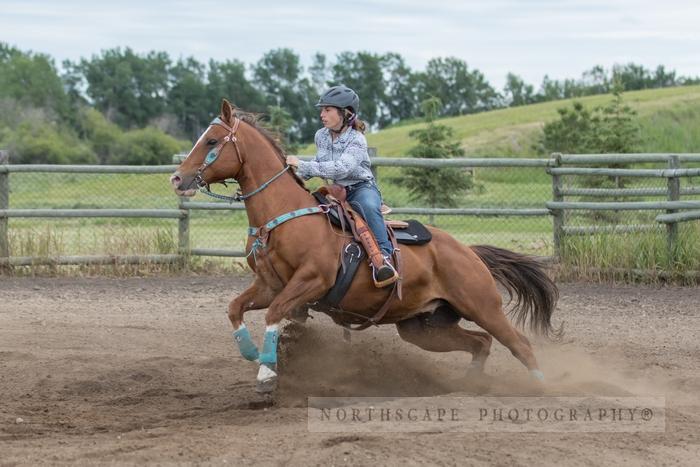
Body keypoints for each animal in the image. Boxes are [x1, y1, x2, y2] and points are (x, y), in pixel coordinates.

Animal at [170, 100, 556, 394]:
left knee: (518, 344)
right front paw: (253, 354)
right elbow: (235, 308)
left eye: (212, 141)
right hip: (424, 327)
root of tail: (469, 252)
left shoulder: (311, 281)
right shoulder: (269, 284)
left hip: (482, 306)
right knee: (481, 343)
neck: (281, 216)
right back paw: (470, 385)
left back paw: (541, 387)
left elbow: (274, 314)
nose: (177, 178)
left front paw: (266, 374)